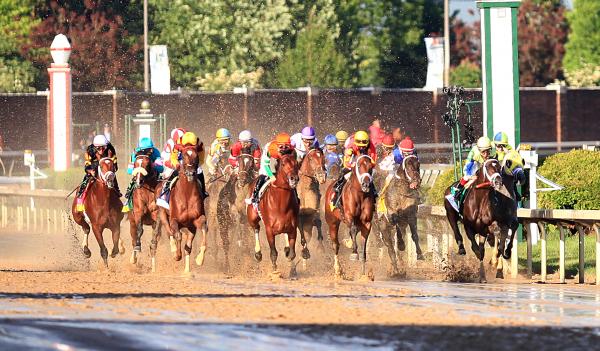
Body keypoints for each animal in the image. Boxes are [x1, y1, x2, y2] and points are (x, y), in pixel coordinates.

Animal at [162, 144, 209, 274]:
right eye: (183, 155)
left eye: (196, 156)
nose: (190, 173)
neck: (186, 193)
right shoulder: (174, 219)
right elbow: (177, 235)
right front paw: (177, 255)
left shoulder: (197, 218)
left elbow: (204, 228)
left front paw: (200, 259)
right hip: (162, 214)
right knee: (169, 231)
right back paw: (174, 249)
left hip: (190, 226)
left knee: (188, 246)